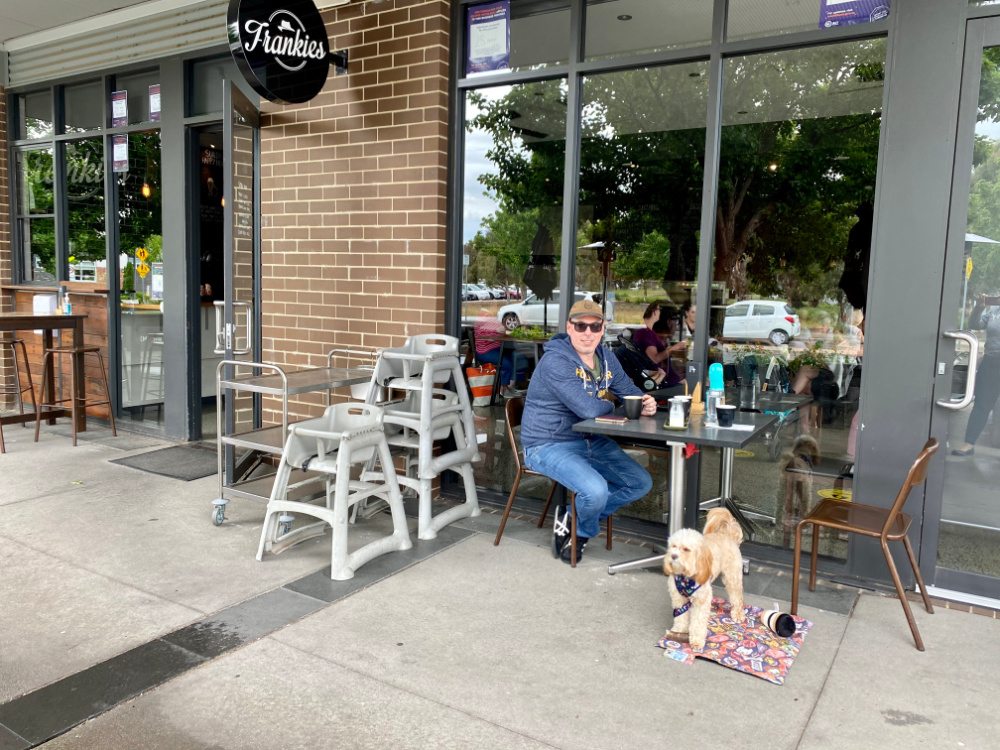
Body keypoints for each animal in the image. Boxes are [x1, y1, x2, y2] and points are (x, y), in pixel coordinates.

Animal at [664, 512, 744, 652]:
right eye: (673, 546)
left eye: (686, 549)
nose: (673, 556)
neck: (686, 577)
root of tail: (726, 534)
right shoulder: (679, 599)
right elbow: (680, 617)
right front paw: (678, 632)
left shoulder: (701, 601)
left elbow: (698, 622)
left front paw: (696, 641)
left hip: (732, 576)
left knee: (737, 597)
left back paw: (738, 613)